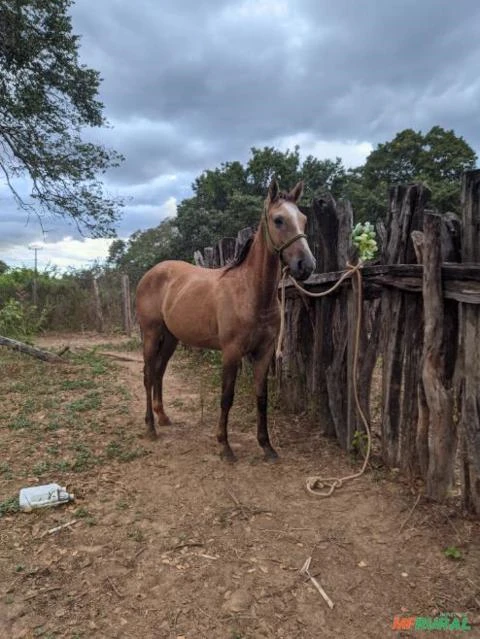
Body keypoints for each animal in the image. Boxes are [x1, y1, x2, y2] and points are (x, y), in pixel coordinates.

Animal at [135, 178, 316, 462]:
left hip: (171, 338)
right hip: (152, 334)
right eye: (278, 220)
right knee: (147, 374)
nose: (305, 265)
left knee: (159, 372)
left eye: (304, 219)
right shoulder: (231, 352)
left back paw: (162, 417)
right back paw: (151, 428)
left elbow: (261, 397)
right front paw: (224, 446)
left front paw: (267, 446)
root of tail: (151, 273)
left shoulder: (264, 352)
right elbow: (226, 397)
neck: (251, 292)